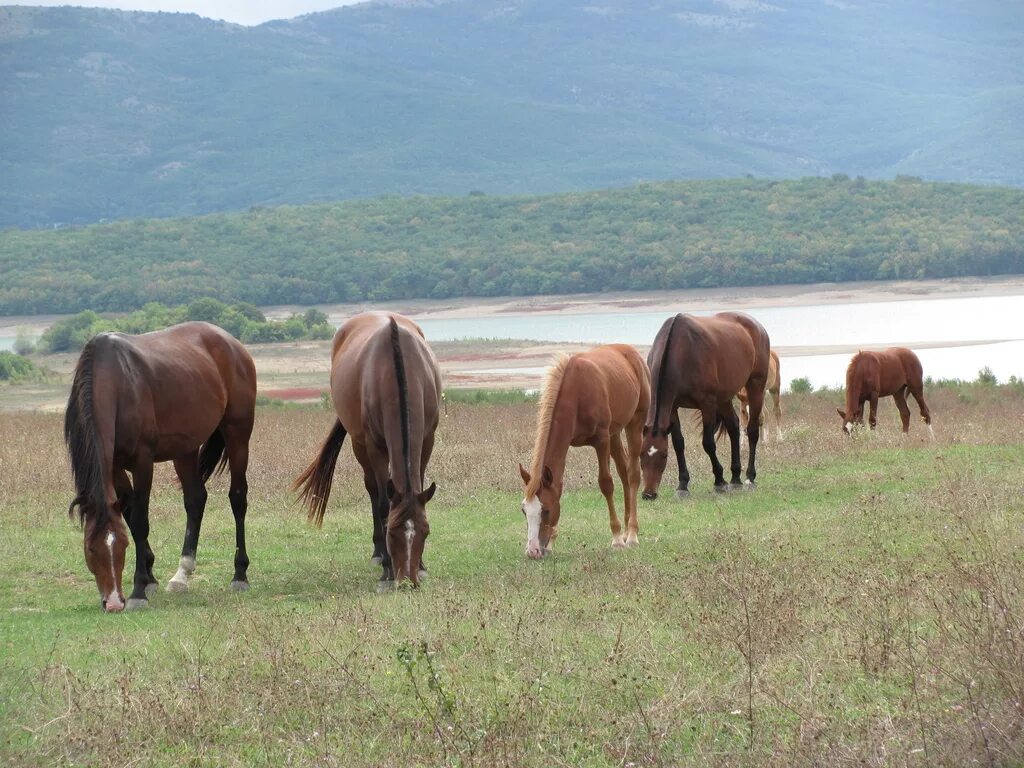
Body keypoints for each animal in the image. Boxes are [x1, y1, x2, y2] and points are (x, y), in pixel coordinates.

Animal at [63, 323, 256, 614]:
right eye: (90, 549)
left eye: (122, 546)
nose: (114, 602)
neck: (116, 381)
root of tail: (233, 344)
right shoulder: (115, 466)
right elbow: (130, 515)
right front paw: (150, 577)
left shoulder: (143, 461)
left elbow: (141, 521)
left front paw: (139, 590)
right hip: (185, 448)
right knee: (196, 500)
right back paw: (181, 575)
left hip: (237, 434)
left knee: (238, 498)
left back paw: (240, 575)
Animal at [294, 313, 442, 589]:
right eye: (392, 532)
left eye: (426, 532)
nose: (409, 581)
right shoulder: (375, 446)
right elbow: (383, 504)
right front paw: (387, 569)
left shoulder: (428, 439)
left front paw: (422, 565)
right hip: (359, 444)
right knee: (373, 489)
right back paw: (377, 553)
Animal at [516, 348, 651, 561]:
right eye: (524, 510)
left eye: (546, 510)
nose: (533, 551)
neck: (577, 392)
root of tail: (633, 354)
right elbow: (559, 486)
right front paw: (552, 543)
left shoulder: (601, 440)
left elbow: (606, 484)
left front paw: (617, 539)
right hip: (615, 433)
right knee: (624, 472)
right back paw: (627, 527)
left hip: (634, 423)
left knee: (633, 474)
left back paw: (631, 535)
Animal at [638, 313, 770, 499]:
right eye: (641, 455)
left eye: (664, 455)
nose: (648, 494)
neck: (682, 350)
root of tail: (758, 327)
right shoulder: (672, 407)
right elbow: (678, 443)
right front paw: (683, 485)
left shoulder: (707, 404)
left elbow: (708, 443)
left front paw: (719, 481)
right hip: (724, 398)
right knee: (733, 427)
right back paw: (735, 477)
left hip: (755, 387)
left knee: (752, 431)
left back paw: (749, 478)